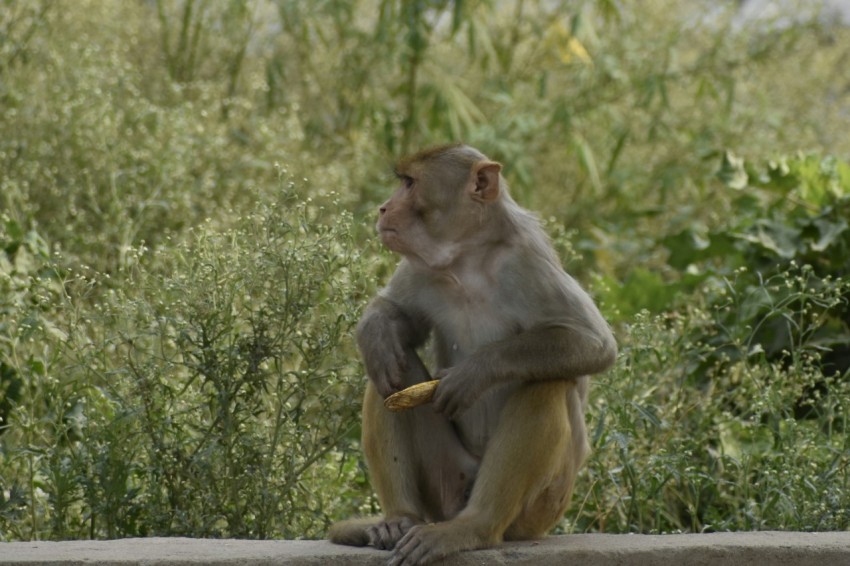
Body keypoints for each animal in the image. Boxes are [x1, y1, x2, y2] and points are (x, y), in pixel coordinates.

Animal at [326, 145, 616, 566]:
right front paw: (376, 333)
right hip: (446, 481)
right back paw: (398, 519)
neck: (468, 257)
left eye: (410, 184)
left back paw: (474, 528)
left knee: (547, 383)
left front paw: (475, 373)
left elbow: (594, 344)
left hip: (540, 509)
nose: (383, 208)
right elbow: (398, 318)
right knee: (389, 378)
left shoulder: (528, 260)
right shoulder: (422, 265)